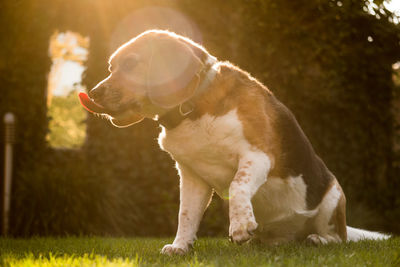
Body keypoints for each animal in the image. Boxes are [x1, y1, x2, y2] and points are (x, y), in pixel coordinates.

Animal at [79, 29, 390, 255]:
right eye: (111, 67)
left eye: (131, 64)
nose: (93, 93)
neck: (192, 107)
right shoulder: (191, 176)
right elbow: (185, 214)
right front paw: (180, 247)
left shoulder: (258, 155)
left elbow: (237, 184)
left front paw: (240, 225)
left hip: (333, 199)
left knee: (338, 239)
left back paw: (317, 239)